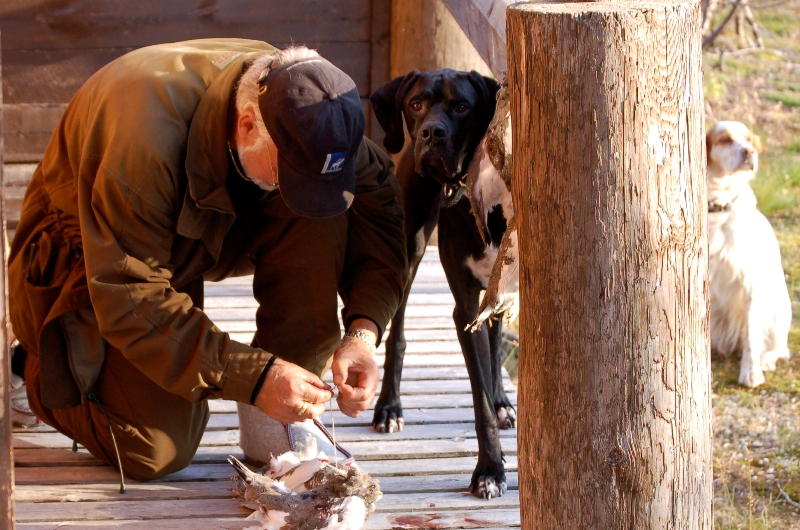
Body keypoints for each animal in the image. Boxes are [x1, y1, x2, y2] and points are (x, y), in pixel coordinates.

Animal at [372, 69, 516, 496]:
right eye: (416, 104)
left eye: (462, 106)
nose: (431, 133)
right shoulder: (465, 307)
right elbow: (479, 399)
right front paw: (490, 470)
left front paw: (499, 405)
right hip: (410, 248)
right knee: (397, 333)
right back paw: (389, 407)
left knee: (496, 337)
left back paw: (503, 400)